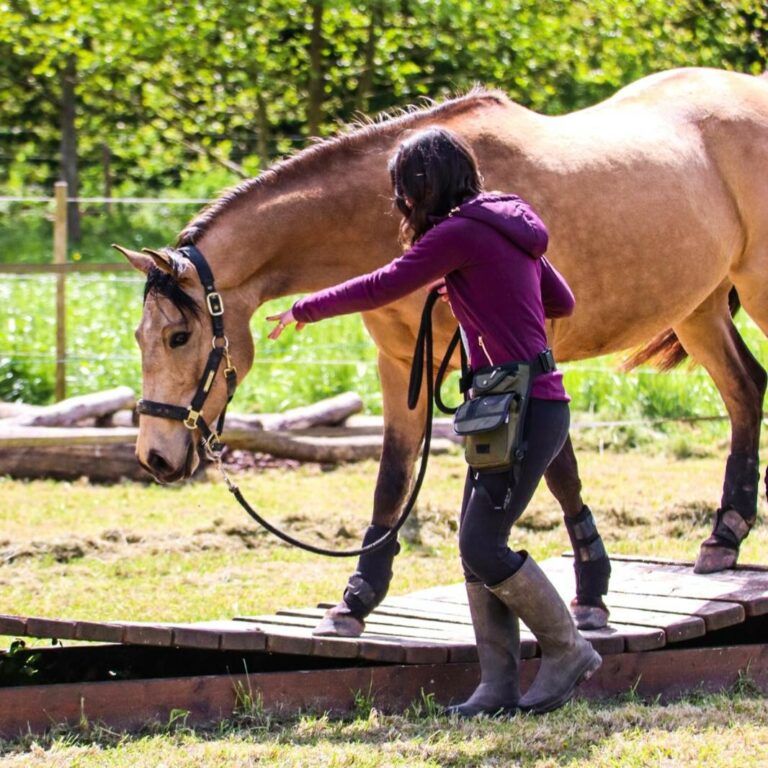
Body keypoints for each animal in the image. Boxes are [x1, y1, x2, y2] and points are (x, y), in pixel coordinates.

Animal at [117, 69, 768, 640]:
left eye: (178, 337)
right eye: (141, 339)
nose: (155, 457)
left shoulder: (529, 351)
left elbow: (559, 469)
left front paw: (592, 589)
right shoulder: (404, 364)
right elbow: (392, 478)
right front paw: (356, 599)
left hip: (753, 289)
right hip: (699, 306)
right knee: (745, 390)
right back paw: (724, 537)